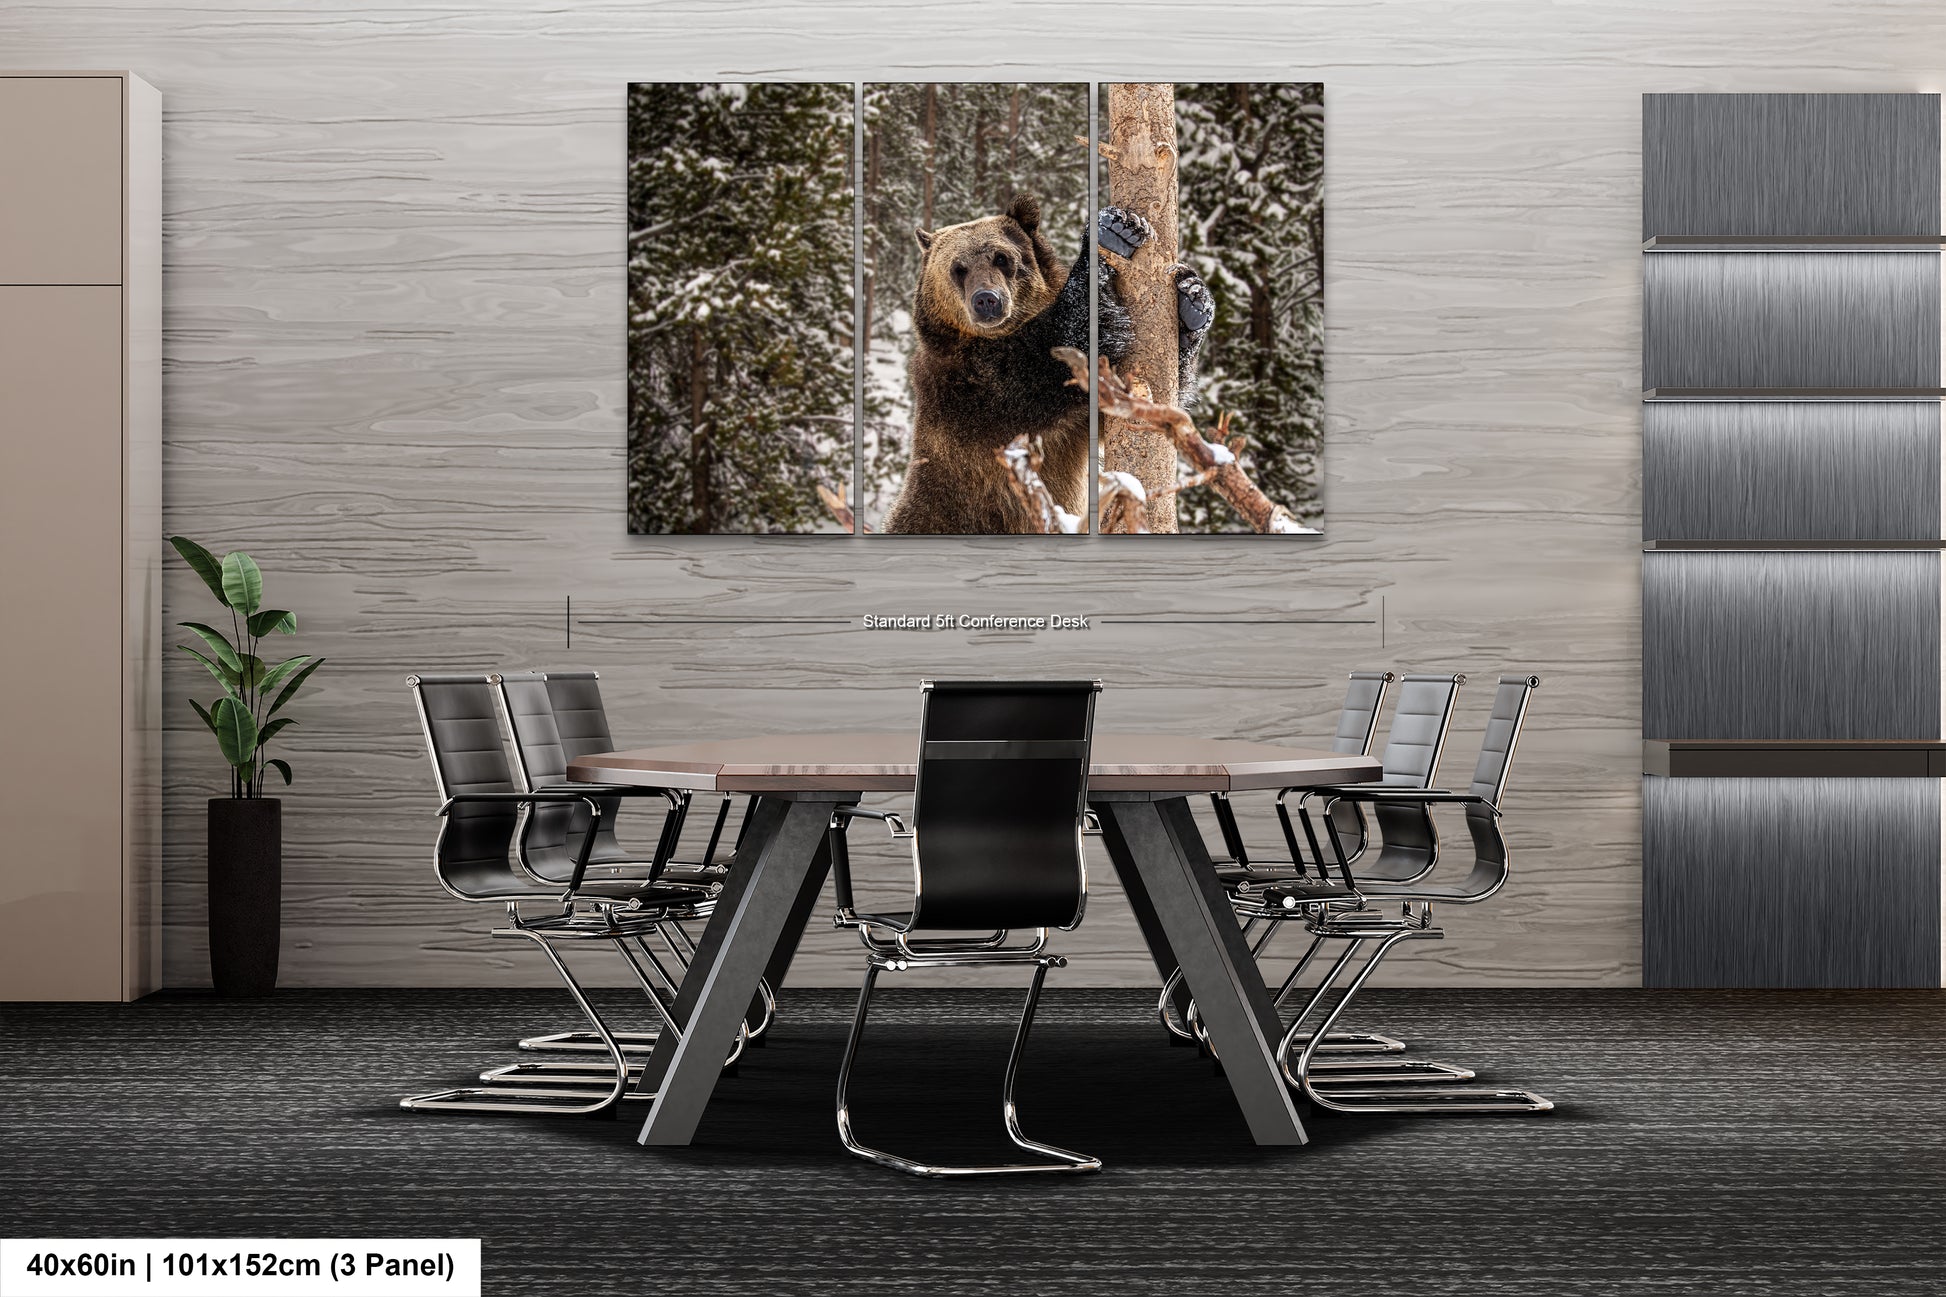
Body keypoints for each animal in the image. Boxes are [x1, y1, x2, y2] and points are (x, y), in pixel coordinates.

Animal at [887, 190, 1214, 529]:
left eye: (1002, 258)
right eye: (958, 268)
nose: (986, 300)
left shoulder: (1076, 424)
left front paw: (1192, 302)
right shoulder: (977, 389)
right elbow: (1058, 351)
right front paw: (1111, 234)